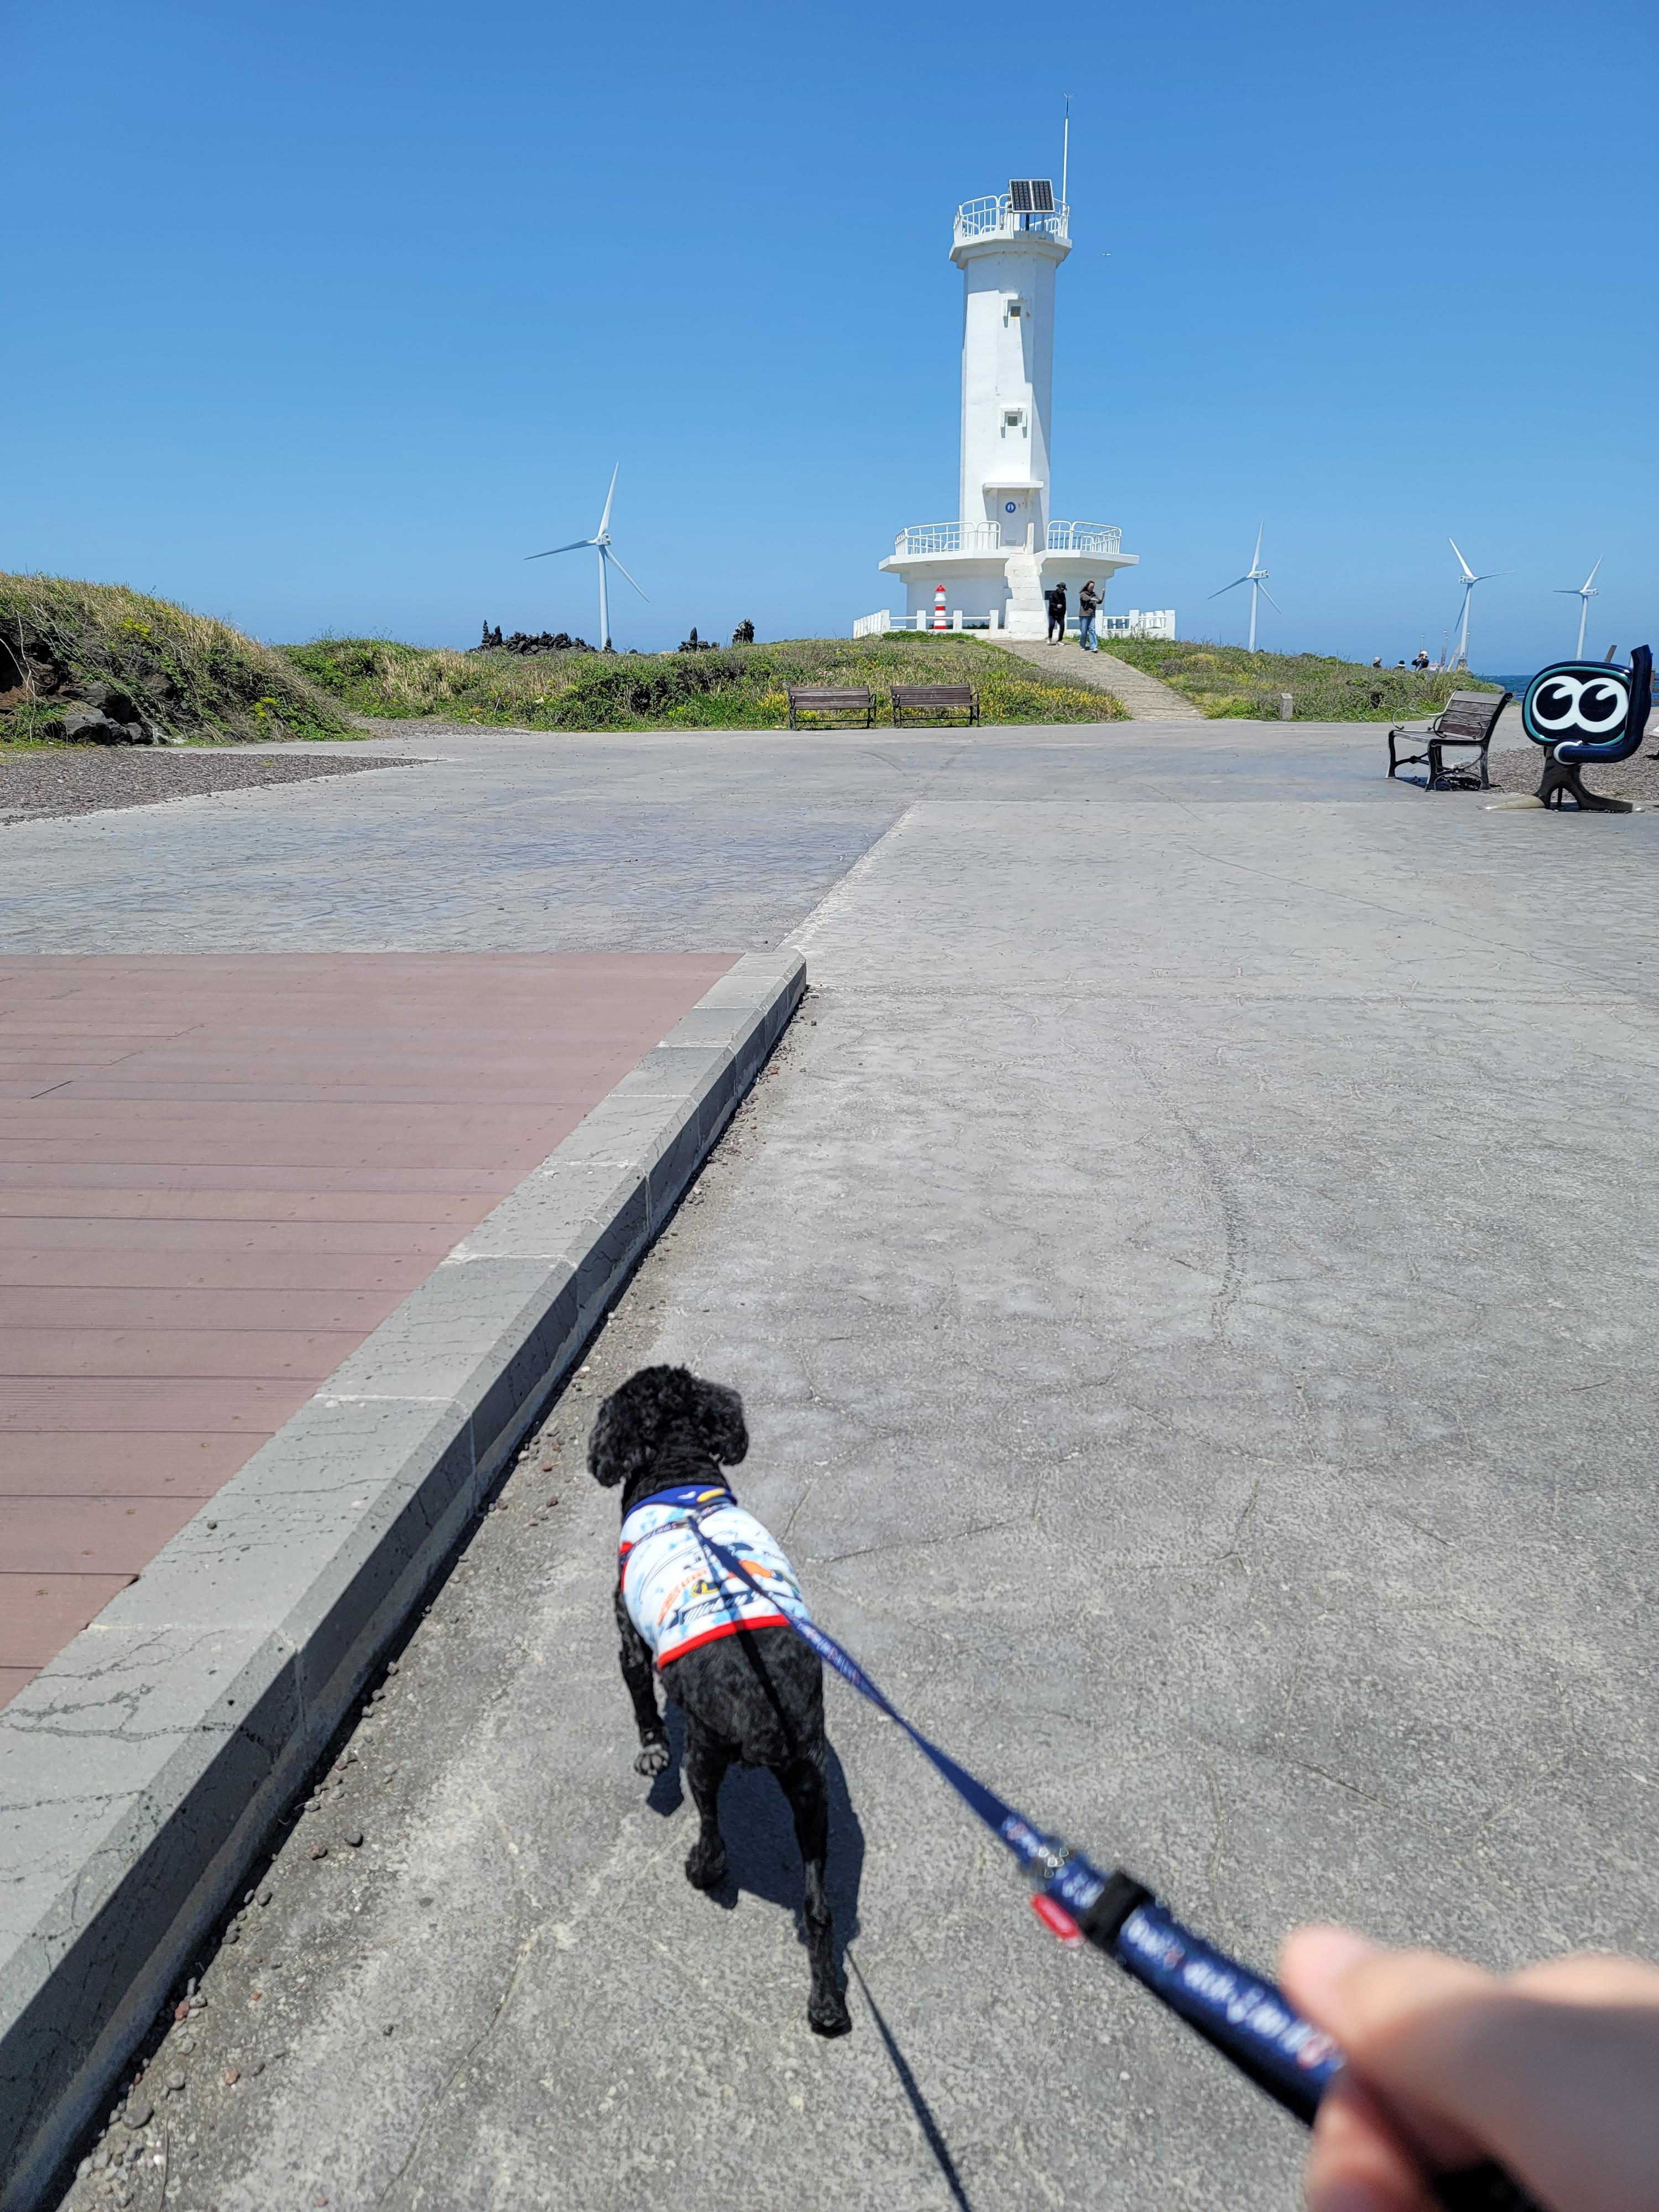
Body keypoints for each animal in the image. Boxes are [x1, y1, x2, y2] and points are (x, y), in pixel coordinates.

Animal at [593, 1363, 858, 2035]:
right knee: (819, 1907)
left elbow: (642, 1704)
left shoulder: (629, 1637)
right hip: (812, 1790)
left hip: (707, 1757)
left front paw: (650, 1751)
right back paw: (826, 2003)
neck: (677, 1474)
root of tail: (767, 1713)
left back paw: (700, 1869)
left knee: (712, 1832)